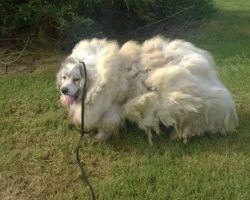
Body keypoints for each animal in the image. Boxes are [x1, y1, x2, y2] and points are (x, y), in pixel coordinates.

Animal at [57, 36, 238, 144]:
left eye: (76, 79)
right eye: (64, 77)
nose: (63, 90)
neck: (97, 79)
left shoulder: (110, 110)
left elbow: (106, 125)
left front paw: (100, 138)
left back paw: (179, 134)